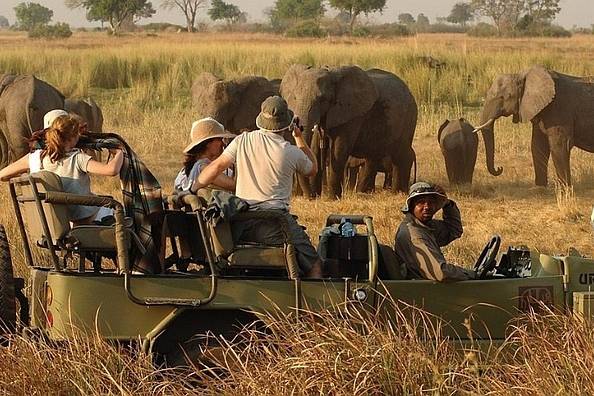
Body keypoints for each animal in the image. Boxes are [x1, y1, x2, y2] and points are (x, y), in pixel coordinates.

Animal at [280, 66, 416, 200]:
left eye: (322, 99)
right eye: (294, 98)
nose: (311, 197)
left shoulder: (351, 115)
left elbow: (338, 150)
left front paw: (332, 199)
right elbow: (315, 149)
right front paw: (317, 198)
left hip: (408, 118)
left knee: (401, 155)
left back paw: (399, 193)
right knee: (374, 157)